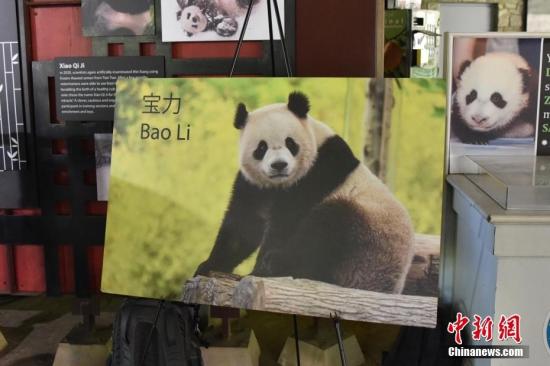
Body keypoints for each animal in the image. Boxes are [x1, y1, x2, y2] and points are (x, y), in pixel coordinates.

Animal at [196, 92, 416, 294]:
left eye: (290, 143)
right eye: (261, 147)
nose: (279, 165)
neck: (280, 184)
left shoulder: (317, 172)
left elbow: (286, 223)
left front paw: (259, 270)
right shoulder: (254, 185)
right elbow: (243, 225)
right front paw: (208, 265)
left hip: (368, 242)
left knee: (328, 225)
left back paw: (277, 264)